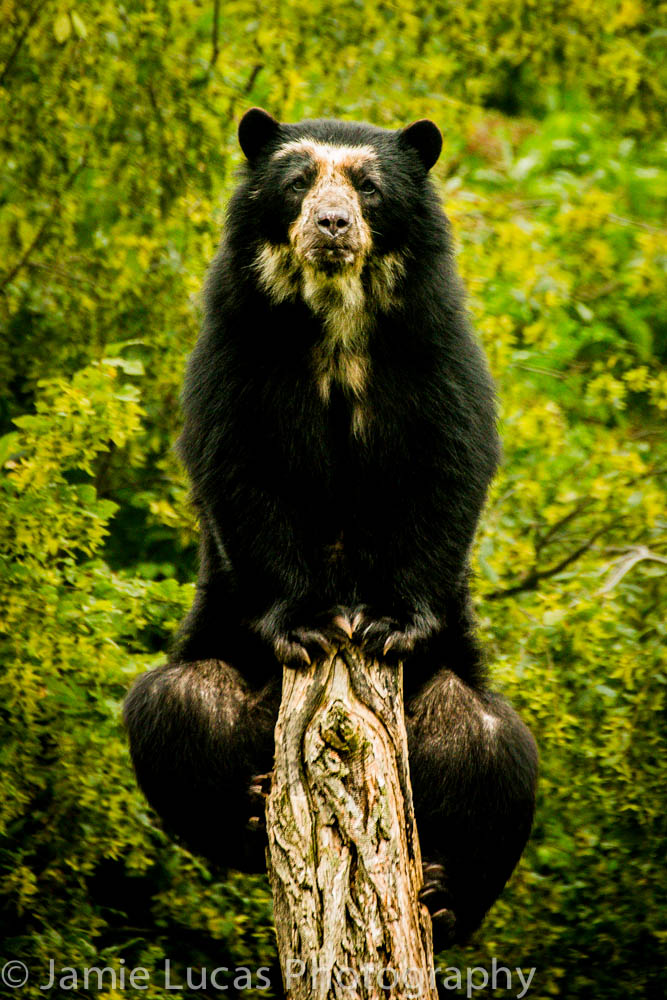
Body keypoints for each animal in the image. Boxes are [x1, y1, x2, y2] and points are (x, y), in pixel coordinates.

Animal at [124, 108, 538, 949]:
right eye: (296, 182)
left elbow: (451, 463)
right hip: (224, 652)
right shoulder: (236, 343)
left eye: (369, 187)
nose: (332, 224)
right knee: (176, 708)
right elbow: (239, 469)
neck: (337, 317)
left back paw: (444, 897)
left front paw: (383, 623)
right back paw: (247, 813)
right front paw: (312, 626)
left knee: (491, 751)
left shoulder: (434, 341)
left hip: (447, 696)